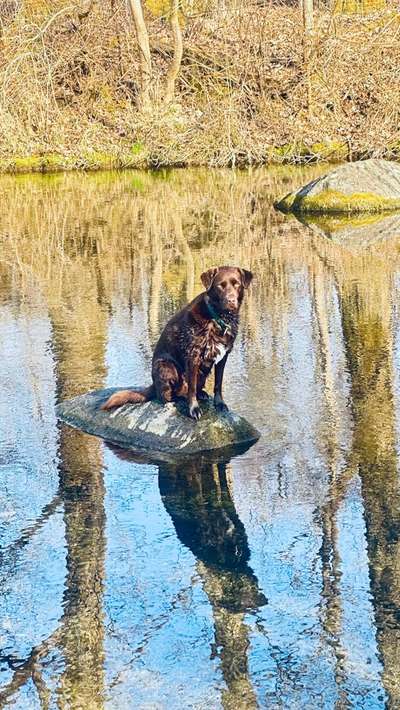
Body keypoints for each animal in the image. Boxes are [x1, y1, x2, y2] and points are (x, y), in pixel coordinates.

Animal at [102, 268, 253, 422]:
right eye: (220, 286)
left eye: (236, 284)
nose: (231, 300)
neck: (218, 320)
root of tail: (153, 384)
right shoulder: (193, 356)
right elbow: (192, 387)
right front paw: (193, 409)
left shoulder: (223, 357)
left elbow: (218, 384)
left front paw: (220, 404)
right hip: (167, 366)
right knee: (165, 396)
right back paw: (180, 398)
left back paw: (202, 394)